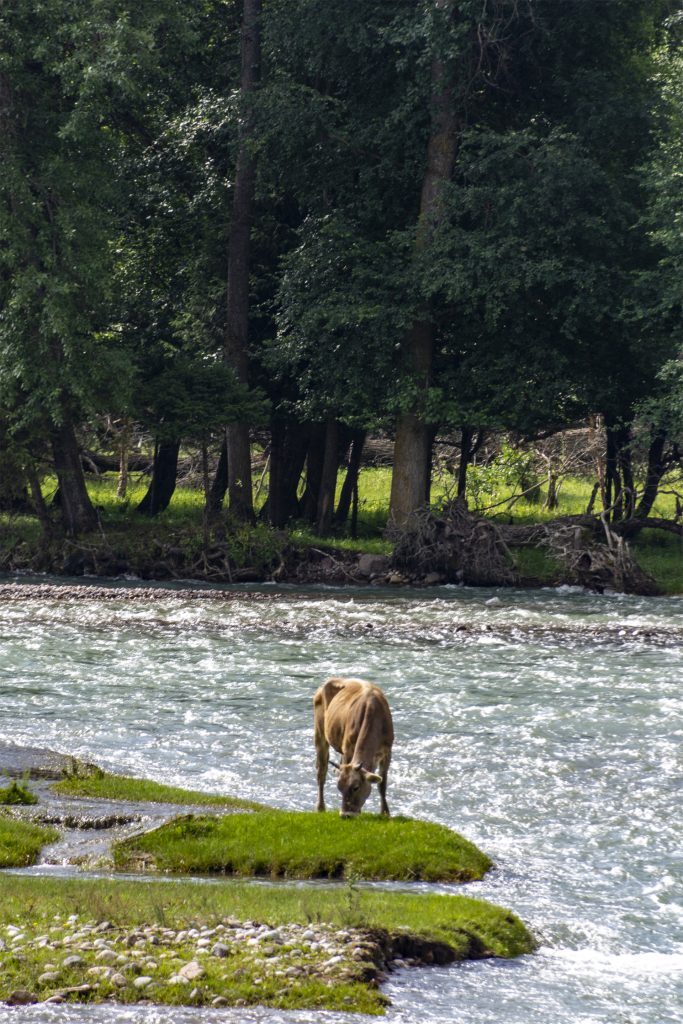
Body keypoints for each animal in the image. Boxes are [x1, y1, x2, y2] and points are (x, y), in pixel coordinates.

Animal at [313, 679, 393, 815]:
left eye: (356, 787)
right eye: (339, 787)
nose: (346, 815)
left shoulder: (387, 751)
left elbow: (382, 785)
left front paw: (385, 813)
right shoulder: (348, 749)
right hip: (320, 735)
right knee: (321, 772)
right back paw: (320, 807)